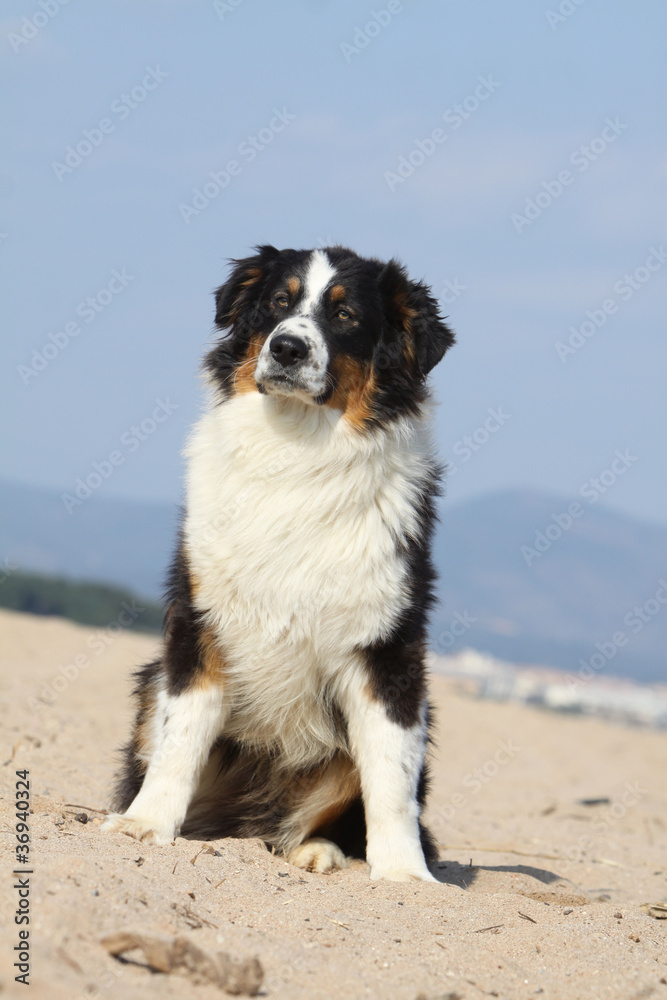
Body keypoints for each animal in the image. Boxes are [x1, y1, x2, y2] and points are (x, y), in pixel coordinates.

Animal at [102, 244, 456, 884]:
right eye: (277, 302)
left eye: (345, 316)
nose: (288, 347)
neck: (297, 450)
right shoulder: (200, 623)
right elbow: (180, 738)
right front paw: (146, 823)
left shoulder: (388, 647)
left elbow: (392, 778)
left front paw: (404, 876)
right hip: (150, 682)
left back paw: (317, 850)